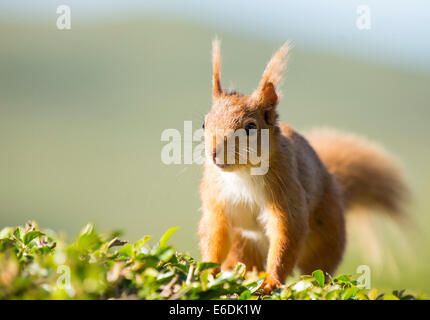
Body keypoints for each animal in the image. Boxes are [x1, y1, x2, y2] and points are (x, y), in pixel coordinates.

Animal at [198, 38, 410, 294]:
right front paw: (207, 270)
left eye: (250, 127)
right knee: (244, 261)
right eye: (204, 123)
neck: (242, 174)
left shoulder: (286, 189)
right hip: (243, 243)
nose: (214, 153)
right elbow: (215, 232)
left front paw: (271, 281)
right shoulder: (216, 198)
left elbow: (287, 233)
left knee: (317, 267)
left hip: (327, 235)